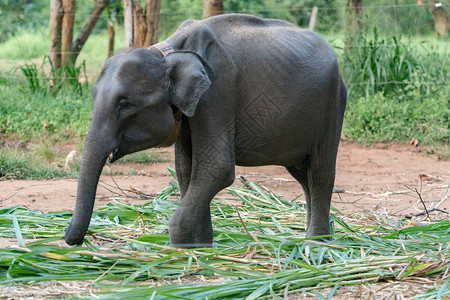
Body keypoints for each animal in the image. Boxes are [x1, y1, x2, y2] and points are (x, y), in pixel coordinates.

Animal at [65, 14, 348, 247]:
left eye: (124, 105)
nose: (70, 238)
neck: (168, 52)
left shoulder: (217, 90)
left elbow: (217, 166)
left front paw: (181, 245)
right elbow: (186, 169)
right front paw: (200, 244)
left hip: (332, 104)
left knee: (320, 173)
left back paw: (316, 245)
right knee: (303, 176)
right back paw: (314, 239)